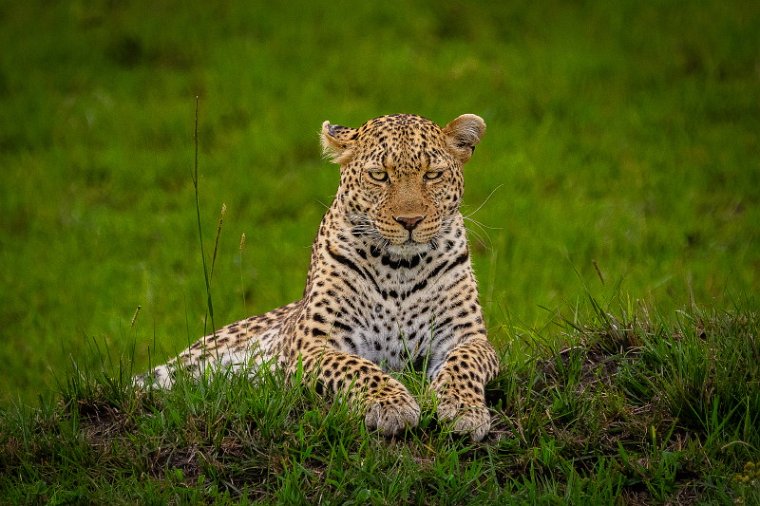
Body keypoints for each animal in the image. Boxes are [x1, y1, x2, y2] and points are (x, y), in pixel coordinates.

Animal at [137, 112, 502, 440]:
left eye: (433, 174)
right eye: (379, 175)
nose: (409, 221)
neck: (401, 268)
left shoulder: (467, 336)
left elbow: (464, 361)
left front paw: (464, 408)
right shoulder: (312, 345)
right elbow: (356, 367)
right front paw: (391, 404)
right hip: (178, 368)